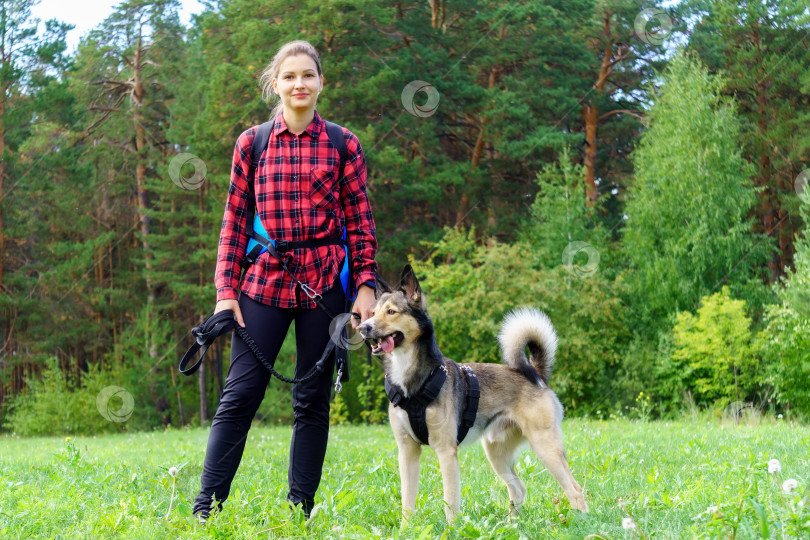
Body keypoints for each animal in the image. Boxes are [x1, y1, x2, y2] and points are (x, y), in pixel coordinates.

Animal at [356, 264, 588, 520]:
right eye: (373, 312)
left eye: (391, 311)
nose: (363, 327)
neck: (413, 379)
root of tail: (535, 374)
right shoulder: (407, 451)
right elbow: (407, 502)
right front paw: (407, 527)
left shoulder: (446, 452)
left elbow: (450, 501)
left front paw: (452, 527)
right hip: (497, 453)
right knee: (519, 488)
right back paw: (511, 522)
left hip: (545, 447)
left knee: (575, 490)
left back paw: (581, 520)